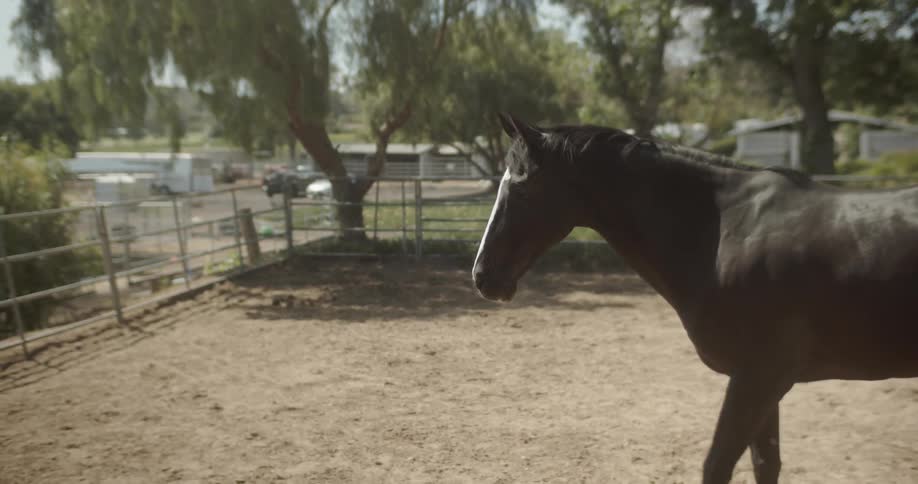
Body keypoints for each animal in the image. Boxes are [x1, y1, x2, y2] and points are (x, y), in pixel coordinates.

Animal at [472, 114, 918, 484]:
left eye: (521, 188)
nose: (482, 276)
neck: (726, 232)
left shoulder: (758, 377)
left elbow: (717, 465)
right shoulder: (765, 383)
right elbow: (765, 464)